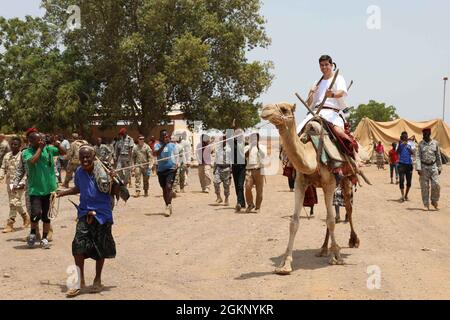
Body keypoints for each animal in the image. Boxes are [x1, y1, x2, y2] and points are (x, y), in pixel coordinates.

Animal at [258, 102, 360, 276]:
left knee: (348, 206)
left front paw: (337, 257)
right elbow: (294, 222)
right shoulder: (300, 182)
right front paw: (285, 264)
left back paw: (352, 241)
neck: (312, 154)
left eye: (284, 109)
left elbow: (331, 220)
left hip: (346, 178)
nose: (265, 109)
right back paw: (324, 249)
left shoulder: (329, 183)